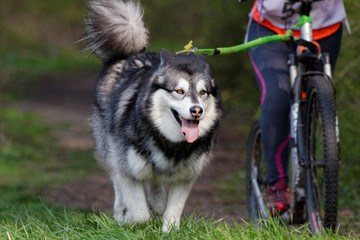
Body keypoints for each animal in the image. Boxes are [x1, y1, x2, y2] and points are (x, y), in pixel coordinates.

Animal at [84, 0, 222, 232]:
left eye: (203, 92)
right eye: (179, 91)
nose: (197, 110)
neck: (171, 143)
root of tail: (133, 53)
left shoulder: (186, 177)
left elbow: (173, 212)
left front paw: (169, 231)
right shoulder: (128, 169)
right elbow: (140, 214)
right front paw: (126, 220)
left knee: (155, 180)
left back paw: (157, 200)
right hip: (111, 148)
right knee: (117, 180)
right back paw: (121, 210)